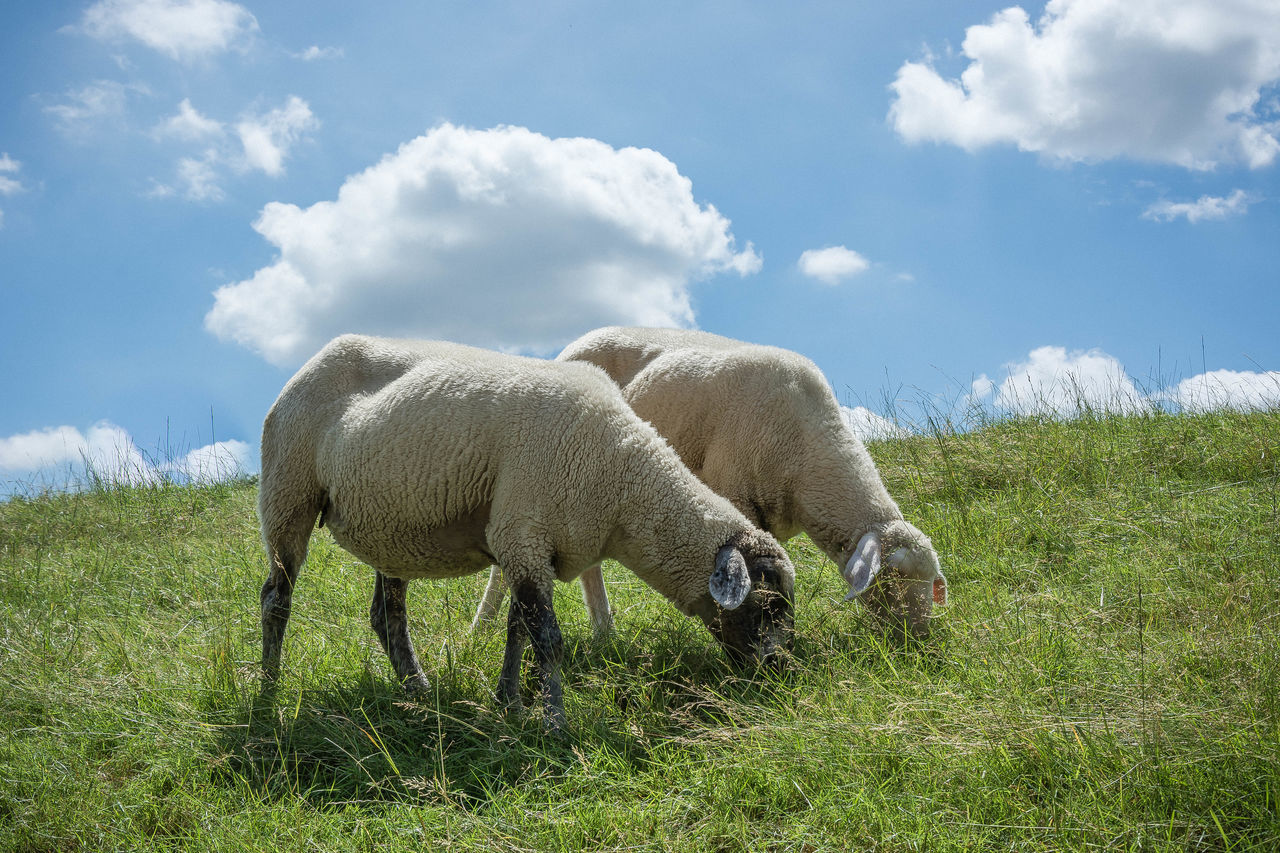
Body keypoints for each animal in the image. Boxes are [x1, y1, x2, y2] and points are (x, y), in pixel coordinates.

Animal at [256, 335, 793, 727]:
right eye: (766, 603)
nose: (781, 671)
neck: (623, 481)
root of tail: (312, 361)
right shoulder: (523, 533)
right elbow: (546, 639)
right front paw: (555, 723)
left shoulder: (531, 545)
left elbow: (518, 631)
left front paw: (509, 703)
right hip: (288, 491)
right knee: (276, 599)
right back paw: (268, 696)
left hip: (390, 525)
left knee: (387, 616)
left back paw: (417, 692)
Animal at [476, 325, 947, 637]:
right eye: (890, 580)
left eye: (931, 582)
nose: (919, 639)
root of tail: (576, 341)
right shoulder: (731, 486)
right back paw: (487, 625)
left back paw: (604, 632)